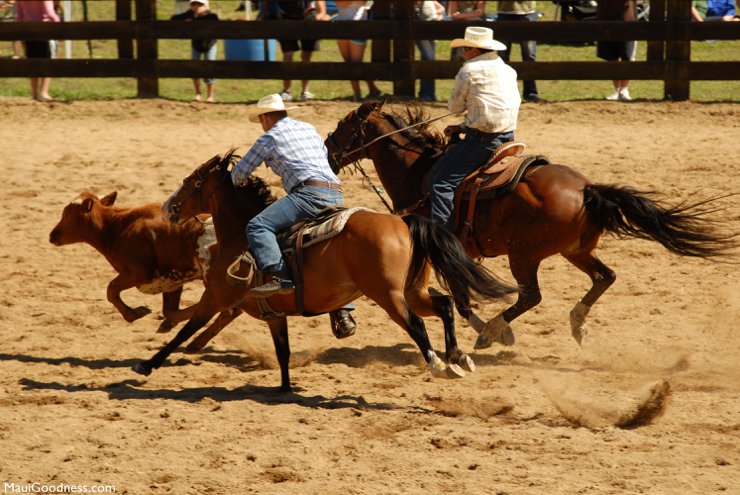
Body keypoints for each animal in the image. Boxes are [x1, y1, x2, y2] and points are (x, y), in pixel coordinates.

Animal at [132, 151, 516, 392]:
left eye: (193, 181)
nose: (168, 207)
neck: (239, 233)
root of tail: (403, 222)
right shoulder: (274, 314)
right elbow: (283, 350)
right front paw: (285, 388)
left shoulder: (216, 298)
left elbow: (185, 331)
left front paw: (147, 365)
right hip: (412, 290)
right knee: (444, 306)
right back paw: (457, 358)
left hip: (388, 295)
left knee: (417, 324)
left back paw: (438, 365)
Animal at [326, 100, 736, 348]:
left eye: (344, 125)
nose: (328, 152)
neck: (418, 170)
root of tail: (588, 189)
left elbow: (460, 295)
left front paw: (484, 330)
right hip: (575, 250)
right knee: (605, 277)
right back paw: (577, 323)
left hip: (523, 254)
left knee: (531, 295)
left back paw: (495, 331)